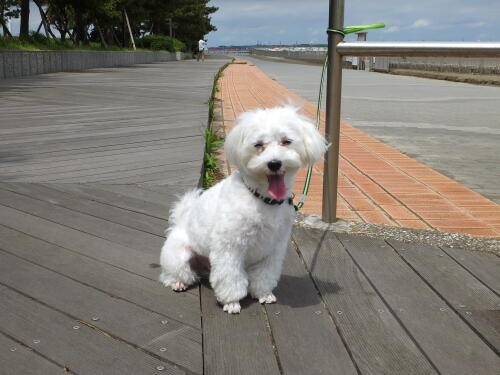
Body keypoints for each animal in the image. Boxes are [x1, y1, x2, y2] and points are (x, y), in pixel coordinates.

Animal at [158, 106, 326, 314]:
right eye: (258, 145)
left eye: (286, 141)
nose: (274, 163)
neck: (263, 199)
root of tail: (180, 221)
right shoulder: (230, 247)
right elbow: (230, 278)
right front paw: (231, 302)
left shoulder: (274, 248)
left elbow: (264, 275)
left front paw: (263, 294)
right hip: (178, 257)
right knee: (173, 274)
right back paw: (177, 282)